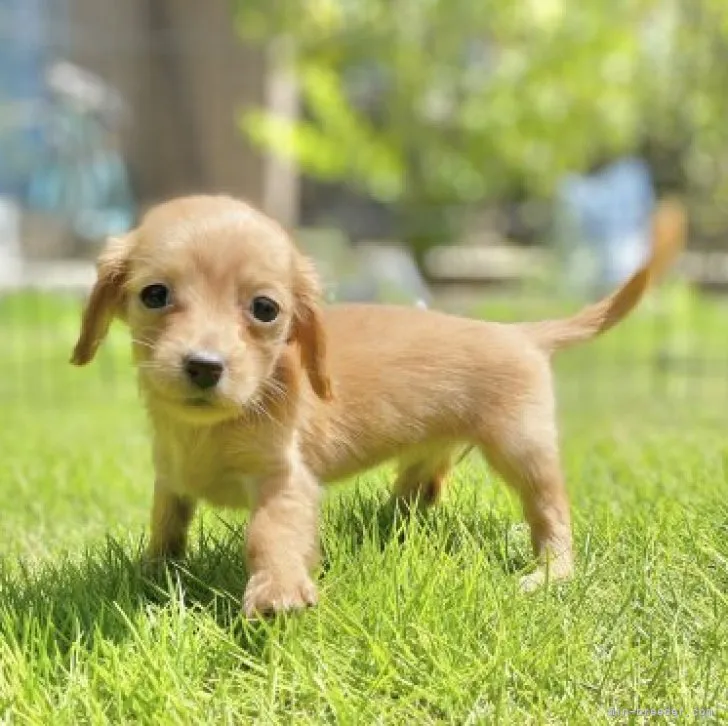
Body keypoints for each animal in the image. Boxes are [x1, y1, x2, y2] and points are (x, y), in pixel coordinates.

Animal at [71, 196, 684, 616]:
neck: (208, 429)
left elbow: (271, 534)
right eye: (155, 295)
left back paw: (551, 572)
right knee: (421, 490)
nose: (203, 366)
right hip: (432, 453)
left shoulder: (285, 481)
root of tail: (520, 333)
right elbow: (166, 526)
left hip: (522, 450)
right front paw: (152, 575)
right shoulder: (171, 477)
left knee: (550, 512)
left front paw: (276, 590)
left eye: (265, 309)